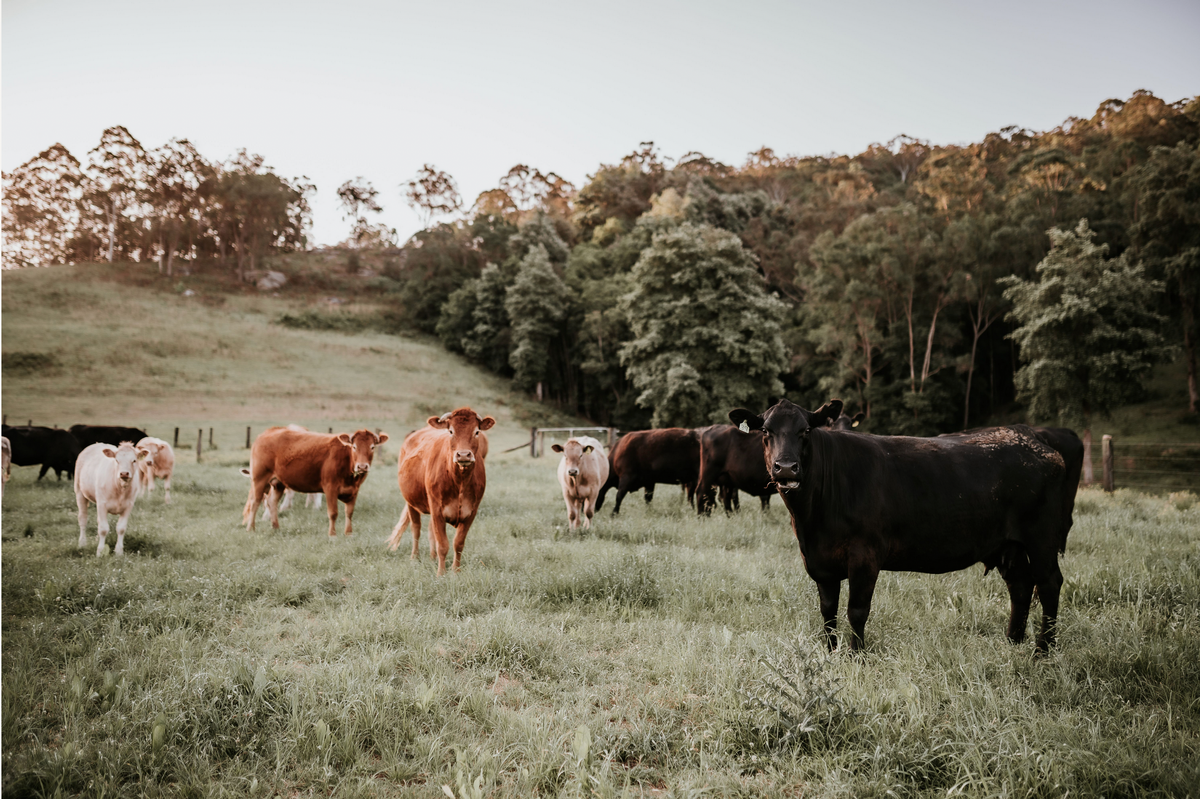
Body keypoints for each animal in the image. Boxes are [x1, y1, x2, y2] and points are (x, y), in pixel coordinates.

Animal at [243, 422, 388, 535]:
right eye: (354, 447)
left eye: (372, 447)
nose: (362, 466)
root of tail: (270, 431)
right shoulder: (330, 488)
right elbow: (333, 513)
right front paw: (332, 535)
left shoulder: (354, 491)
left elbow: (349, 513)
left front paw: (348, 534)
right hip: (259, 479)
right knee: (255, 502)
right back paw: (251, 528)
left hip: (279, 483)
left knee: (272, 502)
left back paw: (276, 527)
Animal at [386, 405, 494, 573]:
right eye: (451, 431)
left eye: (477, 431)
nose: (464, 455)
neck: (459, 481)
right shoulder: (437, 510)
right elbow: (443, 545)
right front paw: (441, 573)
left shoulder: (471, 512)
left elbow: (458, 543)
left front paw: (456, 572)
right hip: (411, 503)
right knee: (416, 528)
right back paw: (414, 558)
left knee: (431, 531)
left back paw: (432, 558)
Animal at [724, 398, 1075, 652]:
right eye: (766, 432)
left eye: (806, 431)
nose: (785, 468)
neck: (811, 522)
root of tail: (1035, 441)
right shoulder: (820, 562)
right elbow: (827, 611)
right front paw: (830, 652)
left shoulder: (865, 556)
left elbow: (856, 610)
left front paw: (856, 655)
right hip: (1008, 545)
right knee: (1021, 585)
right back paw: (1013, 642)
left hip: (1041, 537)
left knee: (1048, 583)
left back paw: (1043, 650)